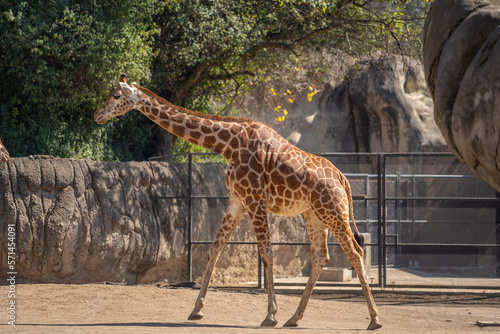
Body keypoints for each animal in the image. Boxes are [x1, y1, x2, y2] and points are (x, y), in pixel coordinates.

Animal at [94, 74, 382, 330]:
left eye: (116, 96)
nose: (97, 115)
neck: (228, 145)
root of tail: (343, 179)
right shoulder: (237, 201)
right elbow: (214, 249)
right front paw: (196, 310)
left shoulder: (254, 200)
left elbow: (266, 254)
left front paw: (270, 315)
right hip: (314, 214)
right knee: (321, 257)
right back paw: (294, 319)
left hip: (333, 210)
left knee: (355, 252)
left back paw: (374, 319)